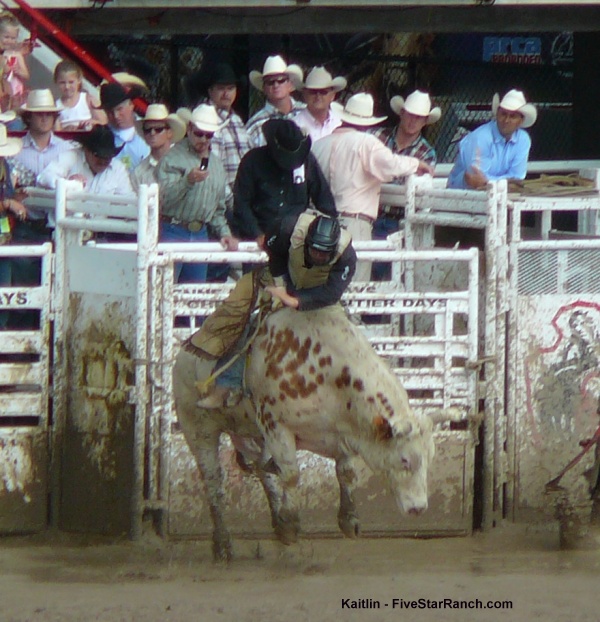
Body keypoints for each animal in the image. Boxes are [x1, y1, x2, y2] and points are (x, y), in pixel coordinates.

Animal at [173, 304, 436, 564]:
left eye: (428, 459)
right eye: (404, 459)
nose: (419, 508)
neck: (329, 372)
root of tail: (182, 355)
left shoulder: (343, 432)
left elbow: (346, 472)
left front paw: (348, 519)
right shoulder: (275, 424)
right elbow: (290, 474)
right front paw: (290, 525)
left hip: (248, 433)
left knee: (262, 470)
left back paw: (276, 521)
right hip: (198, 428)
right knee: (214, 481)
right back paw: (223, 544)